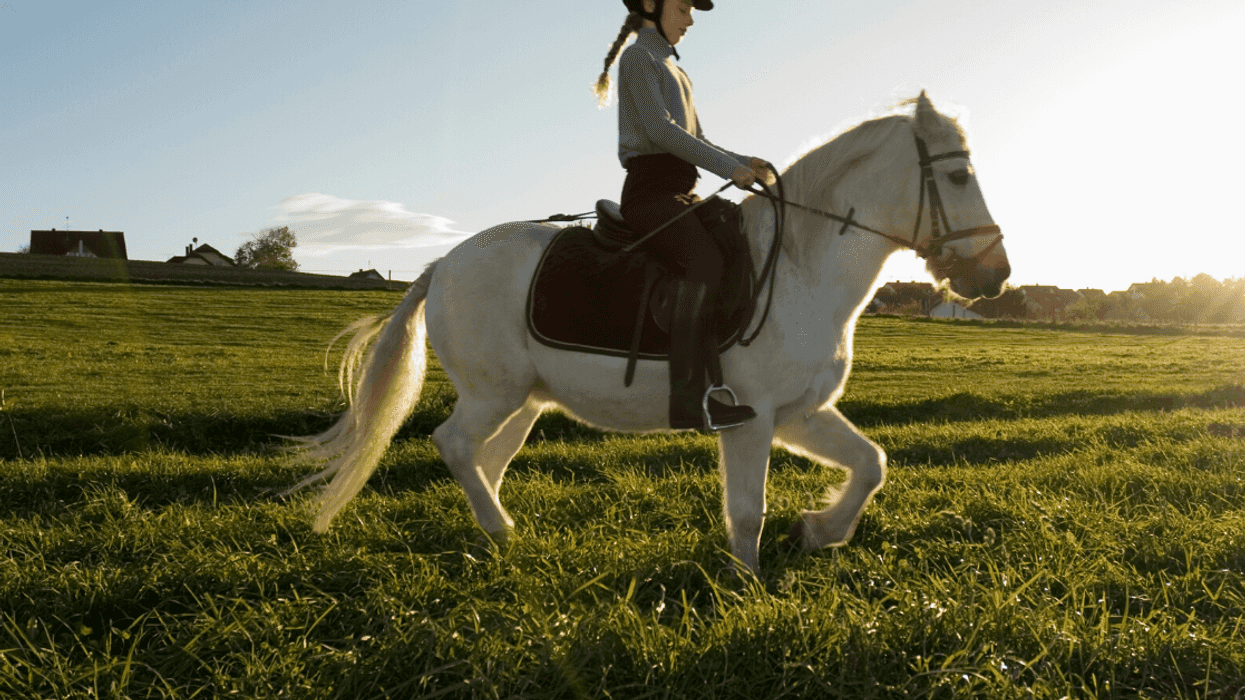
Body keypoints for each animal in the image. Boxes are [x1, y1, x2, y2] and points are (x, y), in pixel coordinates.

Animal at [285, 91, 1010, 574]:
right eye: (957, 176)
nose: (996, 275)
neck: (800, 269)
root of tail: (443, 264)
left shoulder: (801, 413)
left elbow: (870, 464)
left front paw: (818, 530)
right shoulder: (750, 418)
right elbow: (747, 512)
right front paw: (747, 589)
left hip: (521, 402)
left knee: (483, 460)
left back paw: (496, 538)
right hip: (494, 393)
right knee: (454, 445)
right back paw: (505, 533)